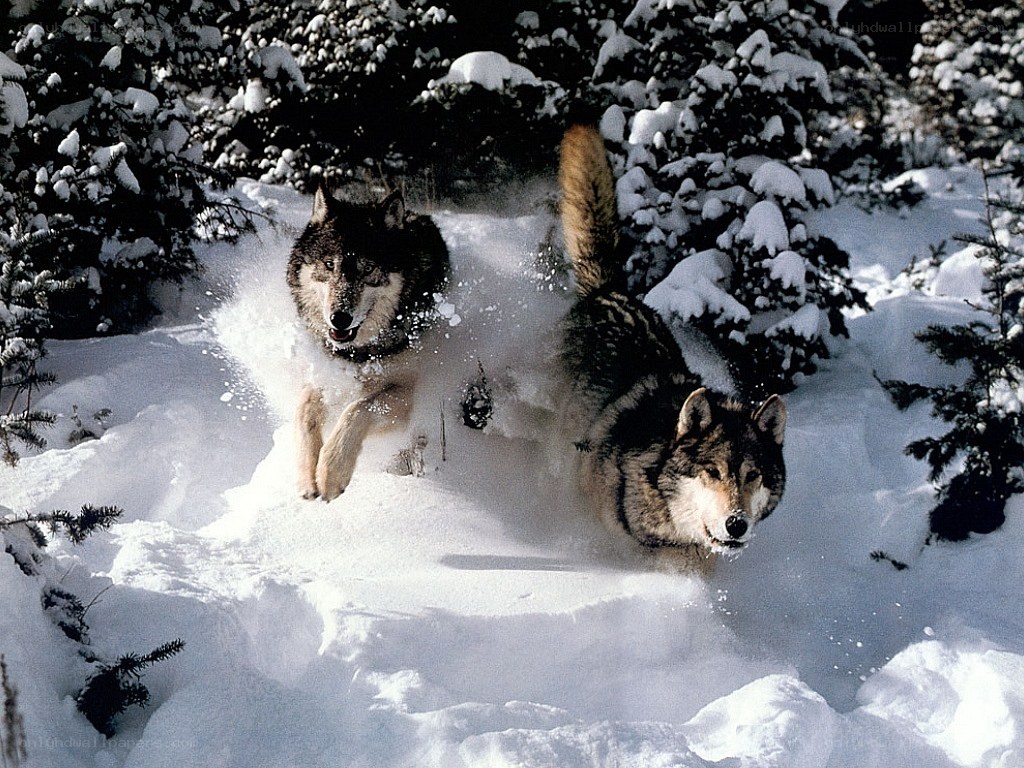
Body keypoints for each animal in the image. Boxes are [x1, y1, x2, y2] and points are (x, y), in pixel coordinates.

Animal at [287, 183, 450, 501]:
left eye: (367, 269)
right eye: (329, 265)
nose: (340, 318)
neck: (358, 353)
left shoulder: (406, 391)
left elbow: (357, 409)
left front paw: (331, 472)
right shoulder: (324, 375)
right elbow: (303, 413)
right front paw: (306, 476)